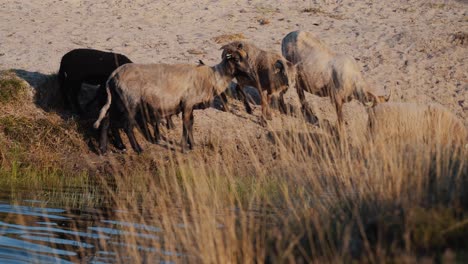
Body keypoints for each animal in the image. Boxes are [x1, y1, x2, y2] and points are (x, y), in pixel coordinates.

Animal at [93, 44, 254, 154]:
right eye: (237, 59)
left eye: (246, 57)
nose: (251, 72)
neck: (212, 77)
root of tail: (113, 76)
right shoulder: (187, 103)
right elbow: (186, 124)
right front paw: (185, 148)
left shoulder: (189, 106)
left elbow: (190, 124)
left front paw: (192, 145)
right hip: (130, 102)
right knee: (127, 126)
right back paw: (138, 149)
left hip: (117, 101)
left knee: (107, 121)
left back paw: (105, 149)